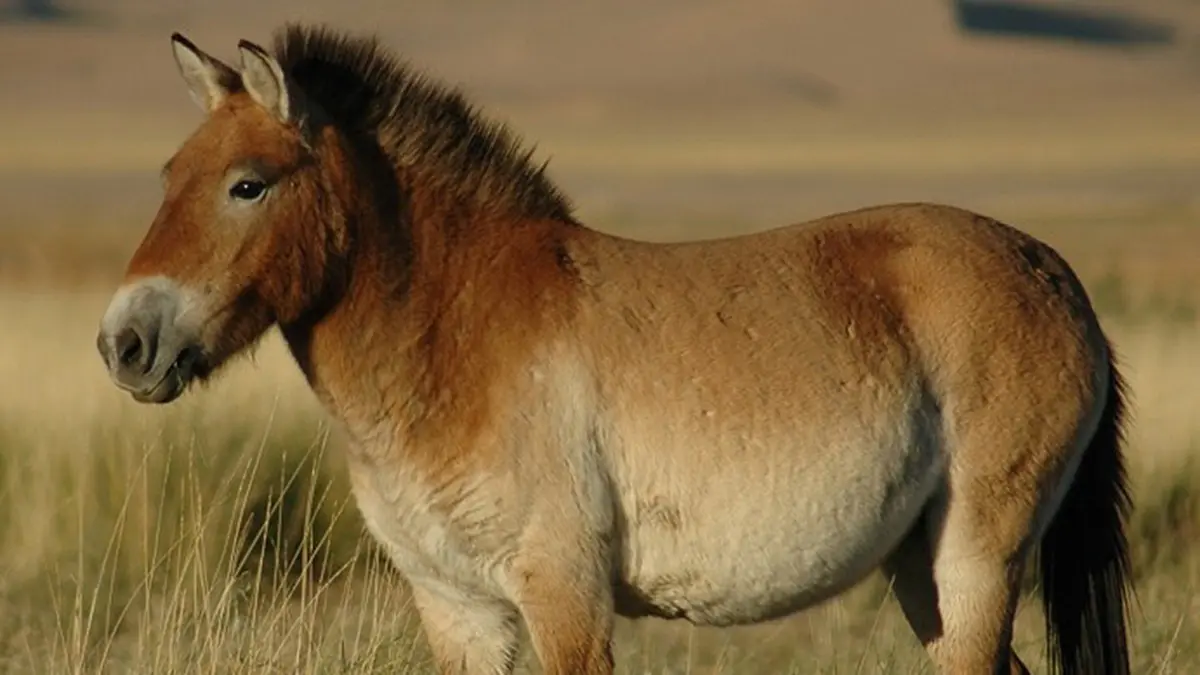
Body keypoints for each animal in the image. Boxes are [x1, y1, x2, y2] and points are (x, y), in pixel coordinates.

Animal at [96, 23, 1133, 675]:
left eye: (247, 184)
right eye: (167, 175)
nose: (124, 343)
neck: (456, 336)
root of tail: (1054, 272)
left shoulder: (563, 593)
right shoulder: (456, 606)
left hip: (977, 558)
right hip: (921, 568)